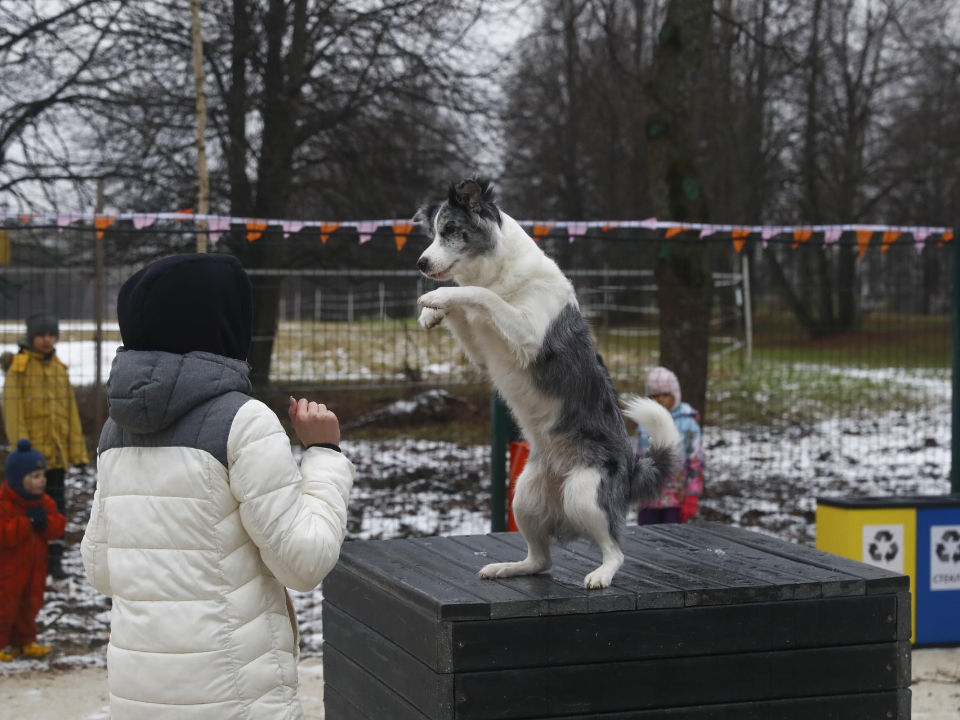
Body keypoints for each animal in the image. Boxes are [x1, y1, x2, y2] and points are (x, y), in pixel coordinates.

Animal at [416, 177, 680, 588]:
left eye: (450, 231)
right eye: (433, 233)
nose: (421, 263)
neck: (501, 269)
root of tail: (632, 467)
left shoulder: (527, 333)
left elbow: (479, 294)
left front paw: (438, 297)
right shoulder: (481, 349)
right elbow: (466, 312)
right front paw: (432, 314)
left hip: (584, 492)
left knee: (616, 550)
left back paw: (602, 573)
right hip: (522, 497)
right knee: (541, 560)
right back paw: (509, 567)